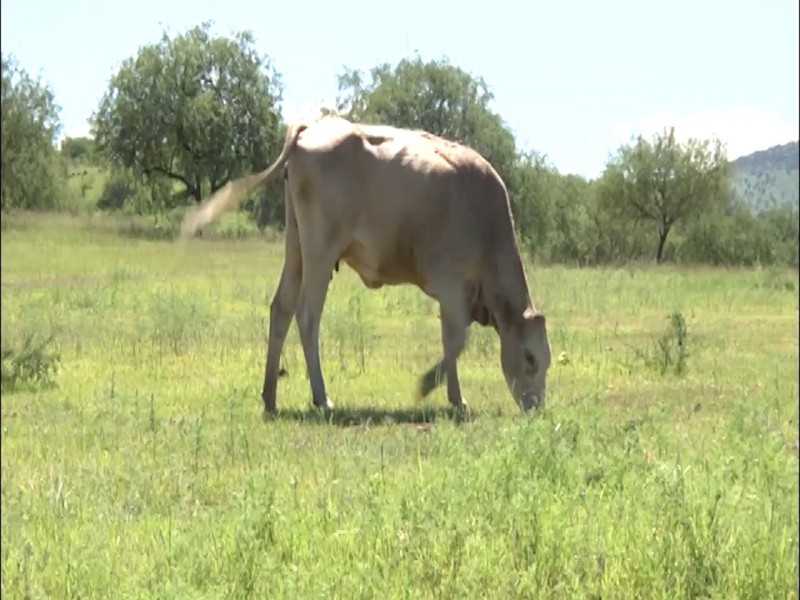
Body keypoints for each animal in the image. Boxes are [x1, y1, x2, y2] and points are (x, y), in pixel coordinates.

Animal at [181, 117, 552, 418]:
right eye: (531, 358)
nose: (536, 408)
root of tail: (313, 127)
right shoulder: (452, 288)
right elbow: (455, 342)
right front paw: (442, 393)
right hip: (319, 253)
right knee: (307, 316)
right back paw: (321, 397)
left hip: (296, 249)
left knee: (281, 309)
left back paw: (270, 397)